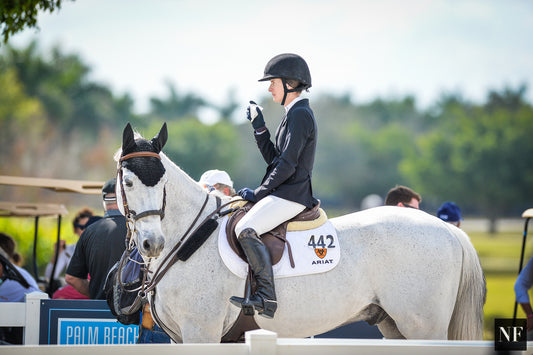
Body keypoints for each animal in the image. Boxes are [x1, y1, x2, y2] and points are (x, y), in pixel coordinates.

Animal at [115, 124, 486, 344]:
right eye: (129, 182)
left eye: (162, 182)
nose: (152, 243)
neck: (189, 240)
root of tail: (448, 231)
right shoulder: (181, 337)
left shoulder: (201, 332)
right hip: (395, 327)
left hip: (424, 327)